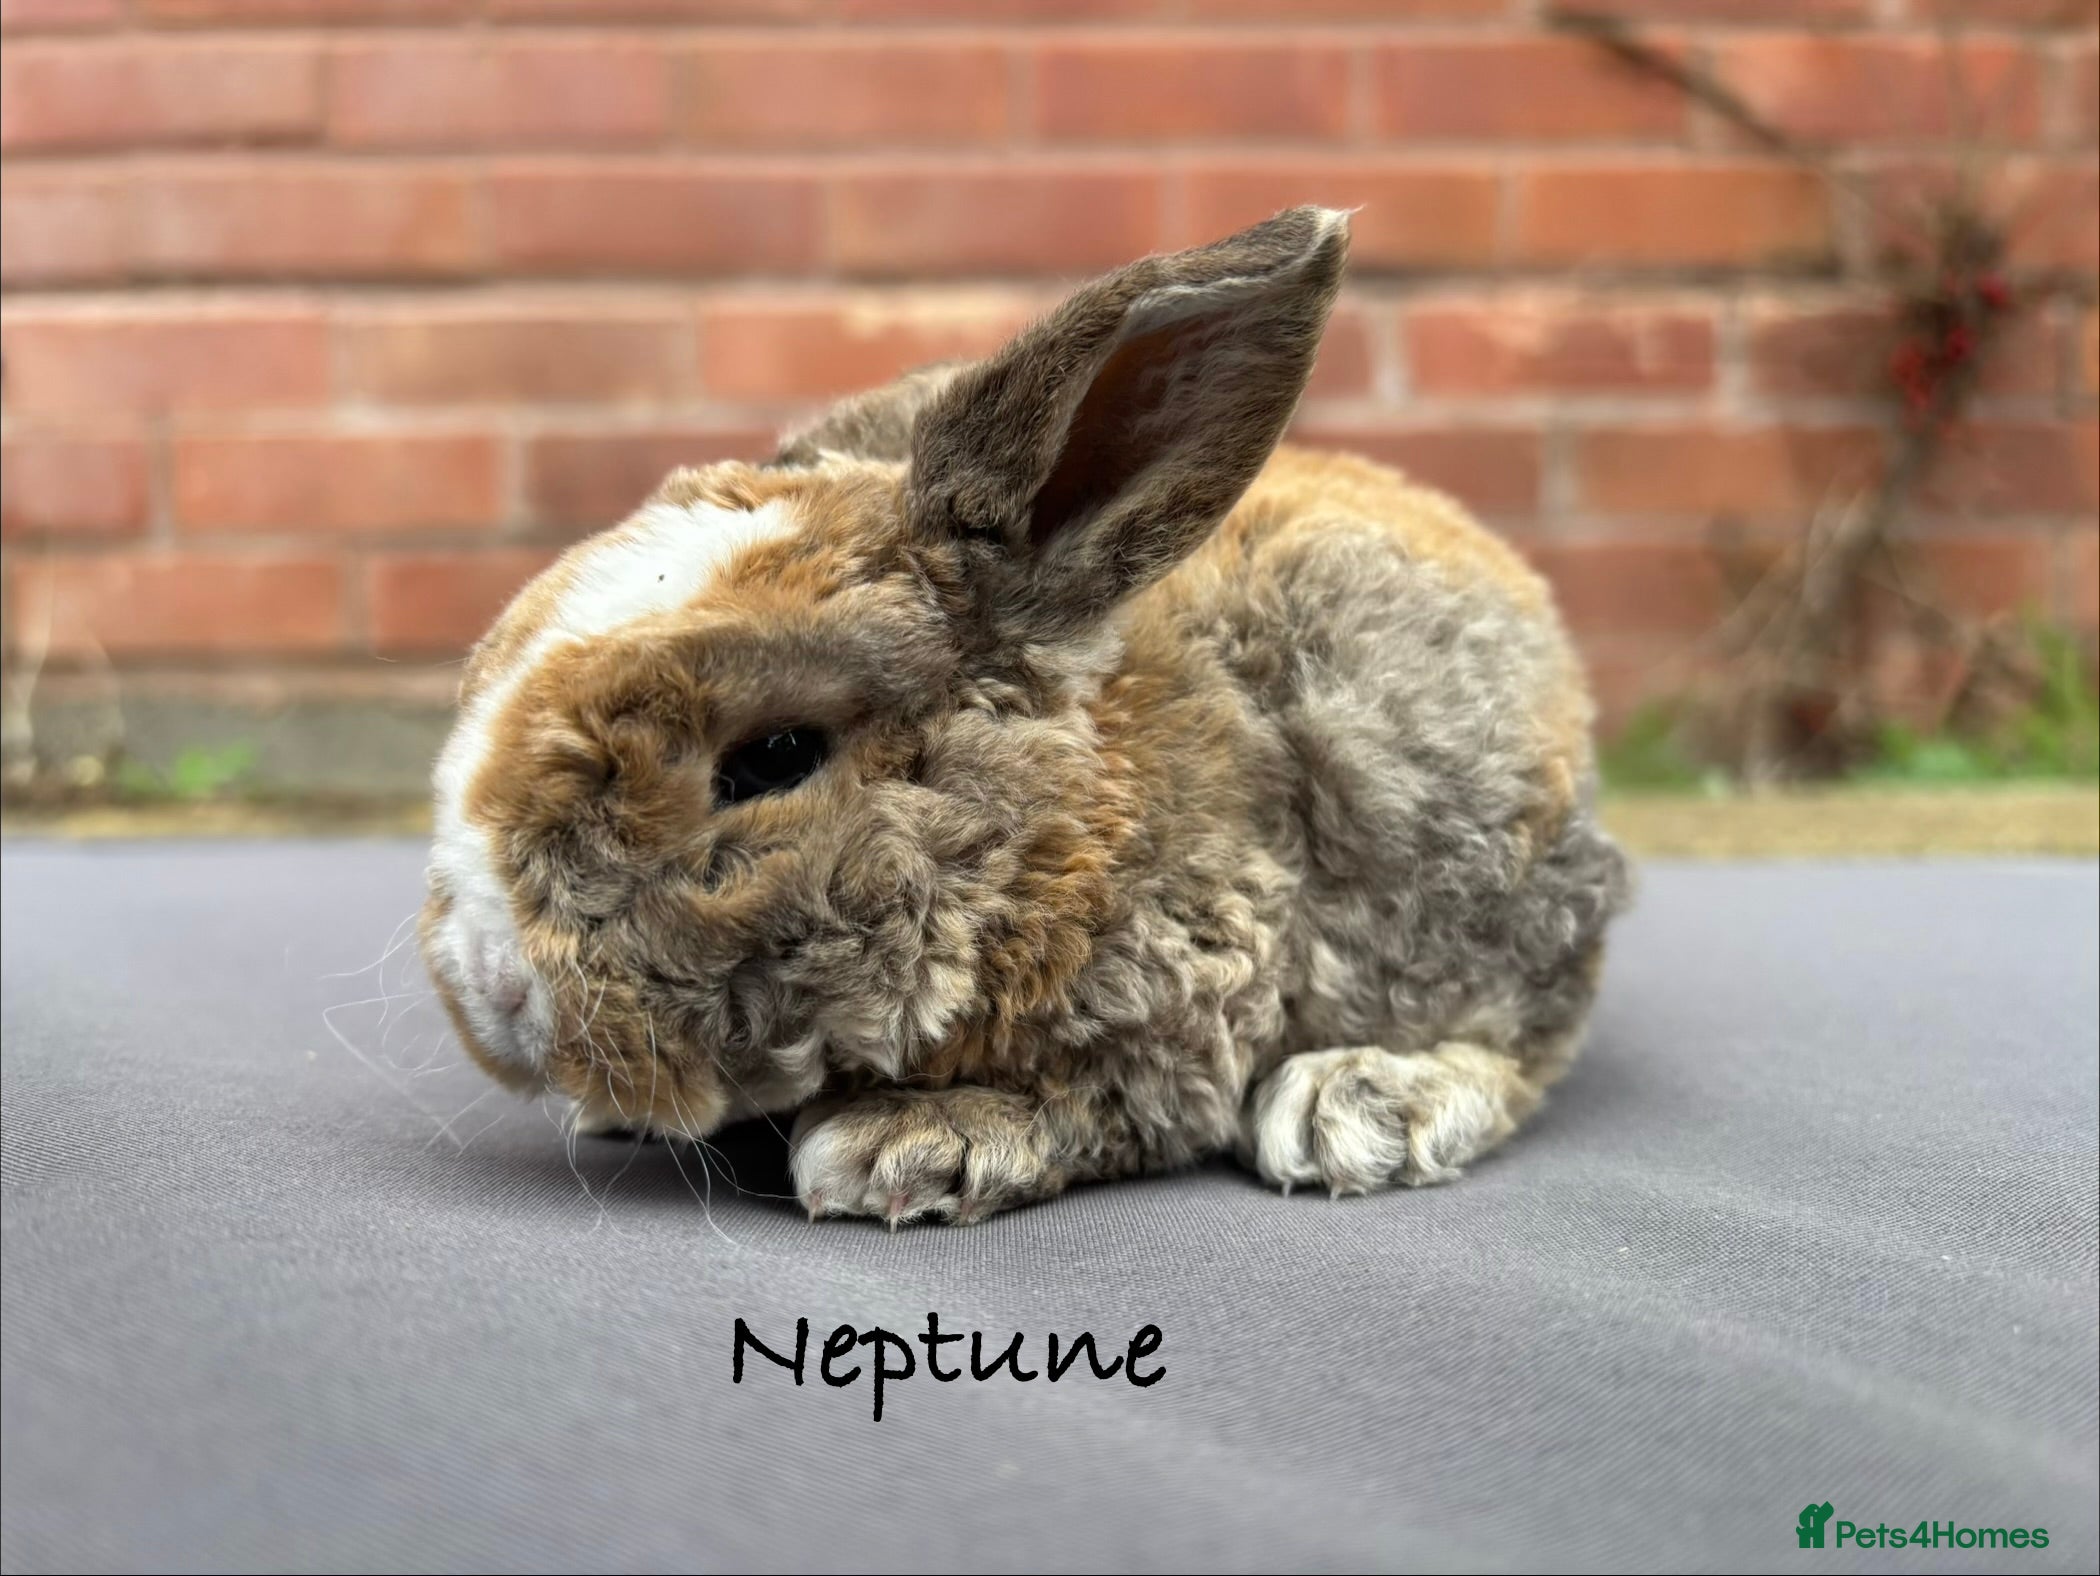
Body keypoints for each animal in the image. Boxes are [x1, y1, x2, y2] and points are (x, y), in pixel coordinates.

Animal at [419, 206, 1631, 1227]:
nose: (495, 986)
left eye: (773, 757)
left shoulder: (1192, 1003)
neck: (1076, 822)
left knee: (1525, 1038)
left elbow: (1105, 1101)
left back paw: (1358, 1105)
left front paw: (902, 1144)